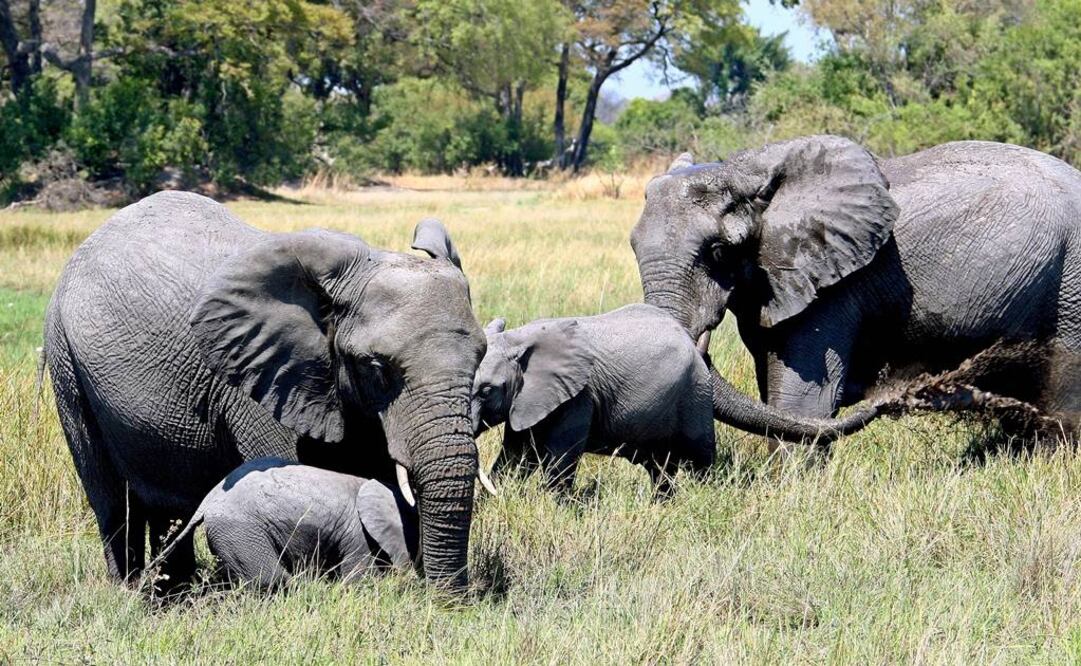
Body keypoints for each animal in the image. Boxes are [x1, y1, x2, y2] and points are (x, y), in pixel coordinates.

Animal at [470, 305, 715, 495]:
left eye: (486, 391)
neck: (517, 339)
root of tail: (689, 339)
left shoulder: (579, 397)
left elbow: (560, 460)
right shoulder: (526, 401)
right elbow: (516, 454)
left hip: (695, 393)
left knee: (700, 458)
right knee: (660, 467)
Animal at [631, 135, 1081, 433]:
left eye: (719, 251)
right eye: (633, 246)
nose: (899, 397)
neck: (746, 171)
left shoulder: (834, 289)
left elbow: (801, 402)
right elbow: (774, 398)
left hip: (1072, 280)